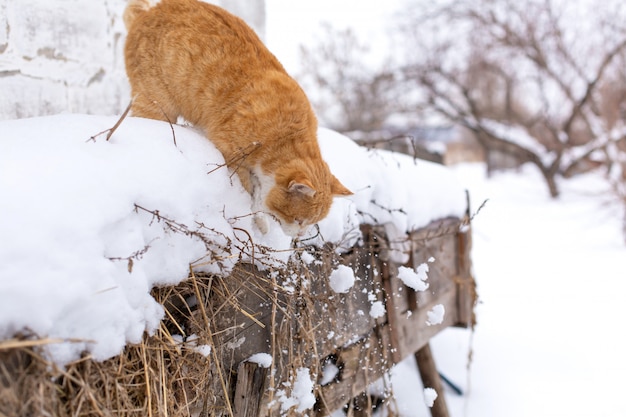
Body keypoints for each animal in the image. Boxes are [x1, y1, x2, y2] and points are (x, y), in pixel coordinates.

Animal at [120, 0, 352, 236]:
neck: (285, 134)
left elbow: (258, 196)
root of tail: (151, 9)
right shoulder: (231, 152)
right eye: (299, 220)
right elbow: (247, 191)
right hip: (156, 104)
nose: (299, 236)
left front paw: (260, 220)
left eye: (312, 222)